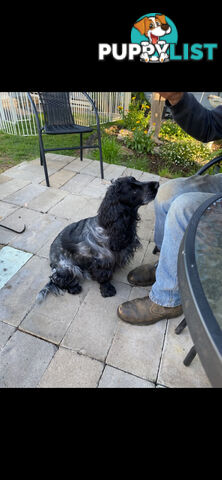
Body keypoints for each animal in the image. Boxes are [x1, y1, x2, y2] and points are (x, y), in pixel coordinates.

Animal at [36, 176, 158, 304]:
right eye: (132, 189)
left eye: (135, 179)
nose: (157, 184)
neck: (109, 227)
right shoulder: (102, 261)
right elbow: (104, 276)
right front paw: (107, 290)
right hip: (69, 267)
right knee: (58, 280)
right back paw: (74, 288)